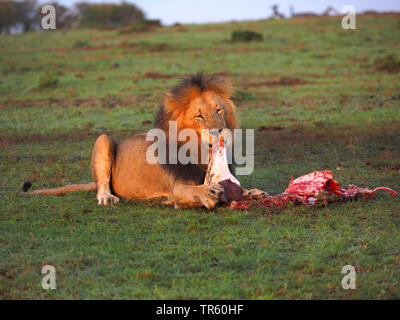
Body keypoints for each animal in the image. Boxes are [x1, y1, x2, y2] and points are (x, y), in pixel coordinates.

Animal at [29, 72, 268, 208]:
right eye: (199, 116)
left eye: (219, 110)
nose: (219, 131)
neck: (199, 153)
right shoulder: (175, 189)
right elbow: (191, 191)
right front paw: (207, 193)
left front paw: (253, 193)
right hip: (104, 140)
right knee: (102, 185)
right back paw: (107, 198)